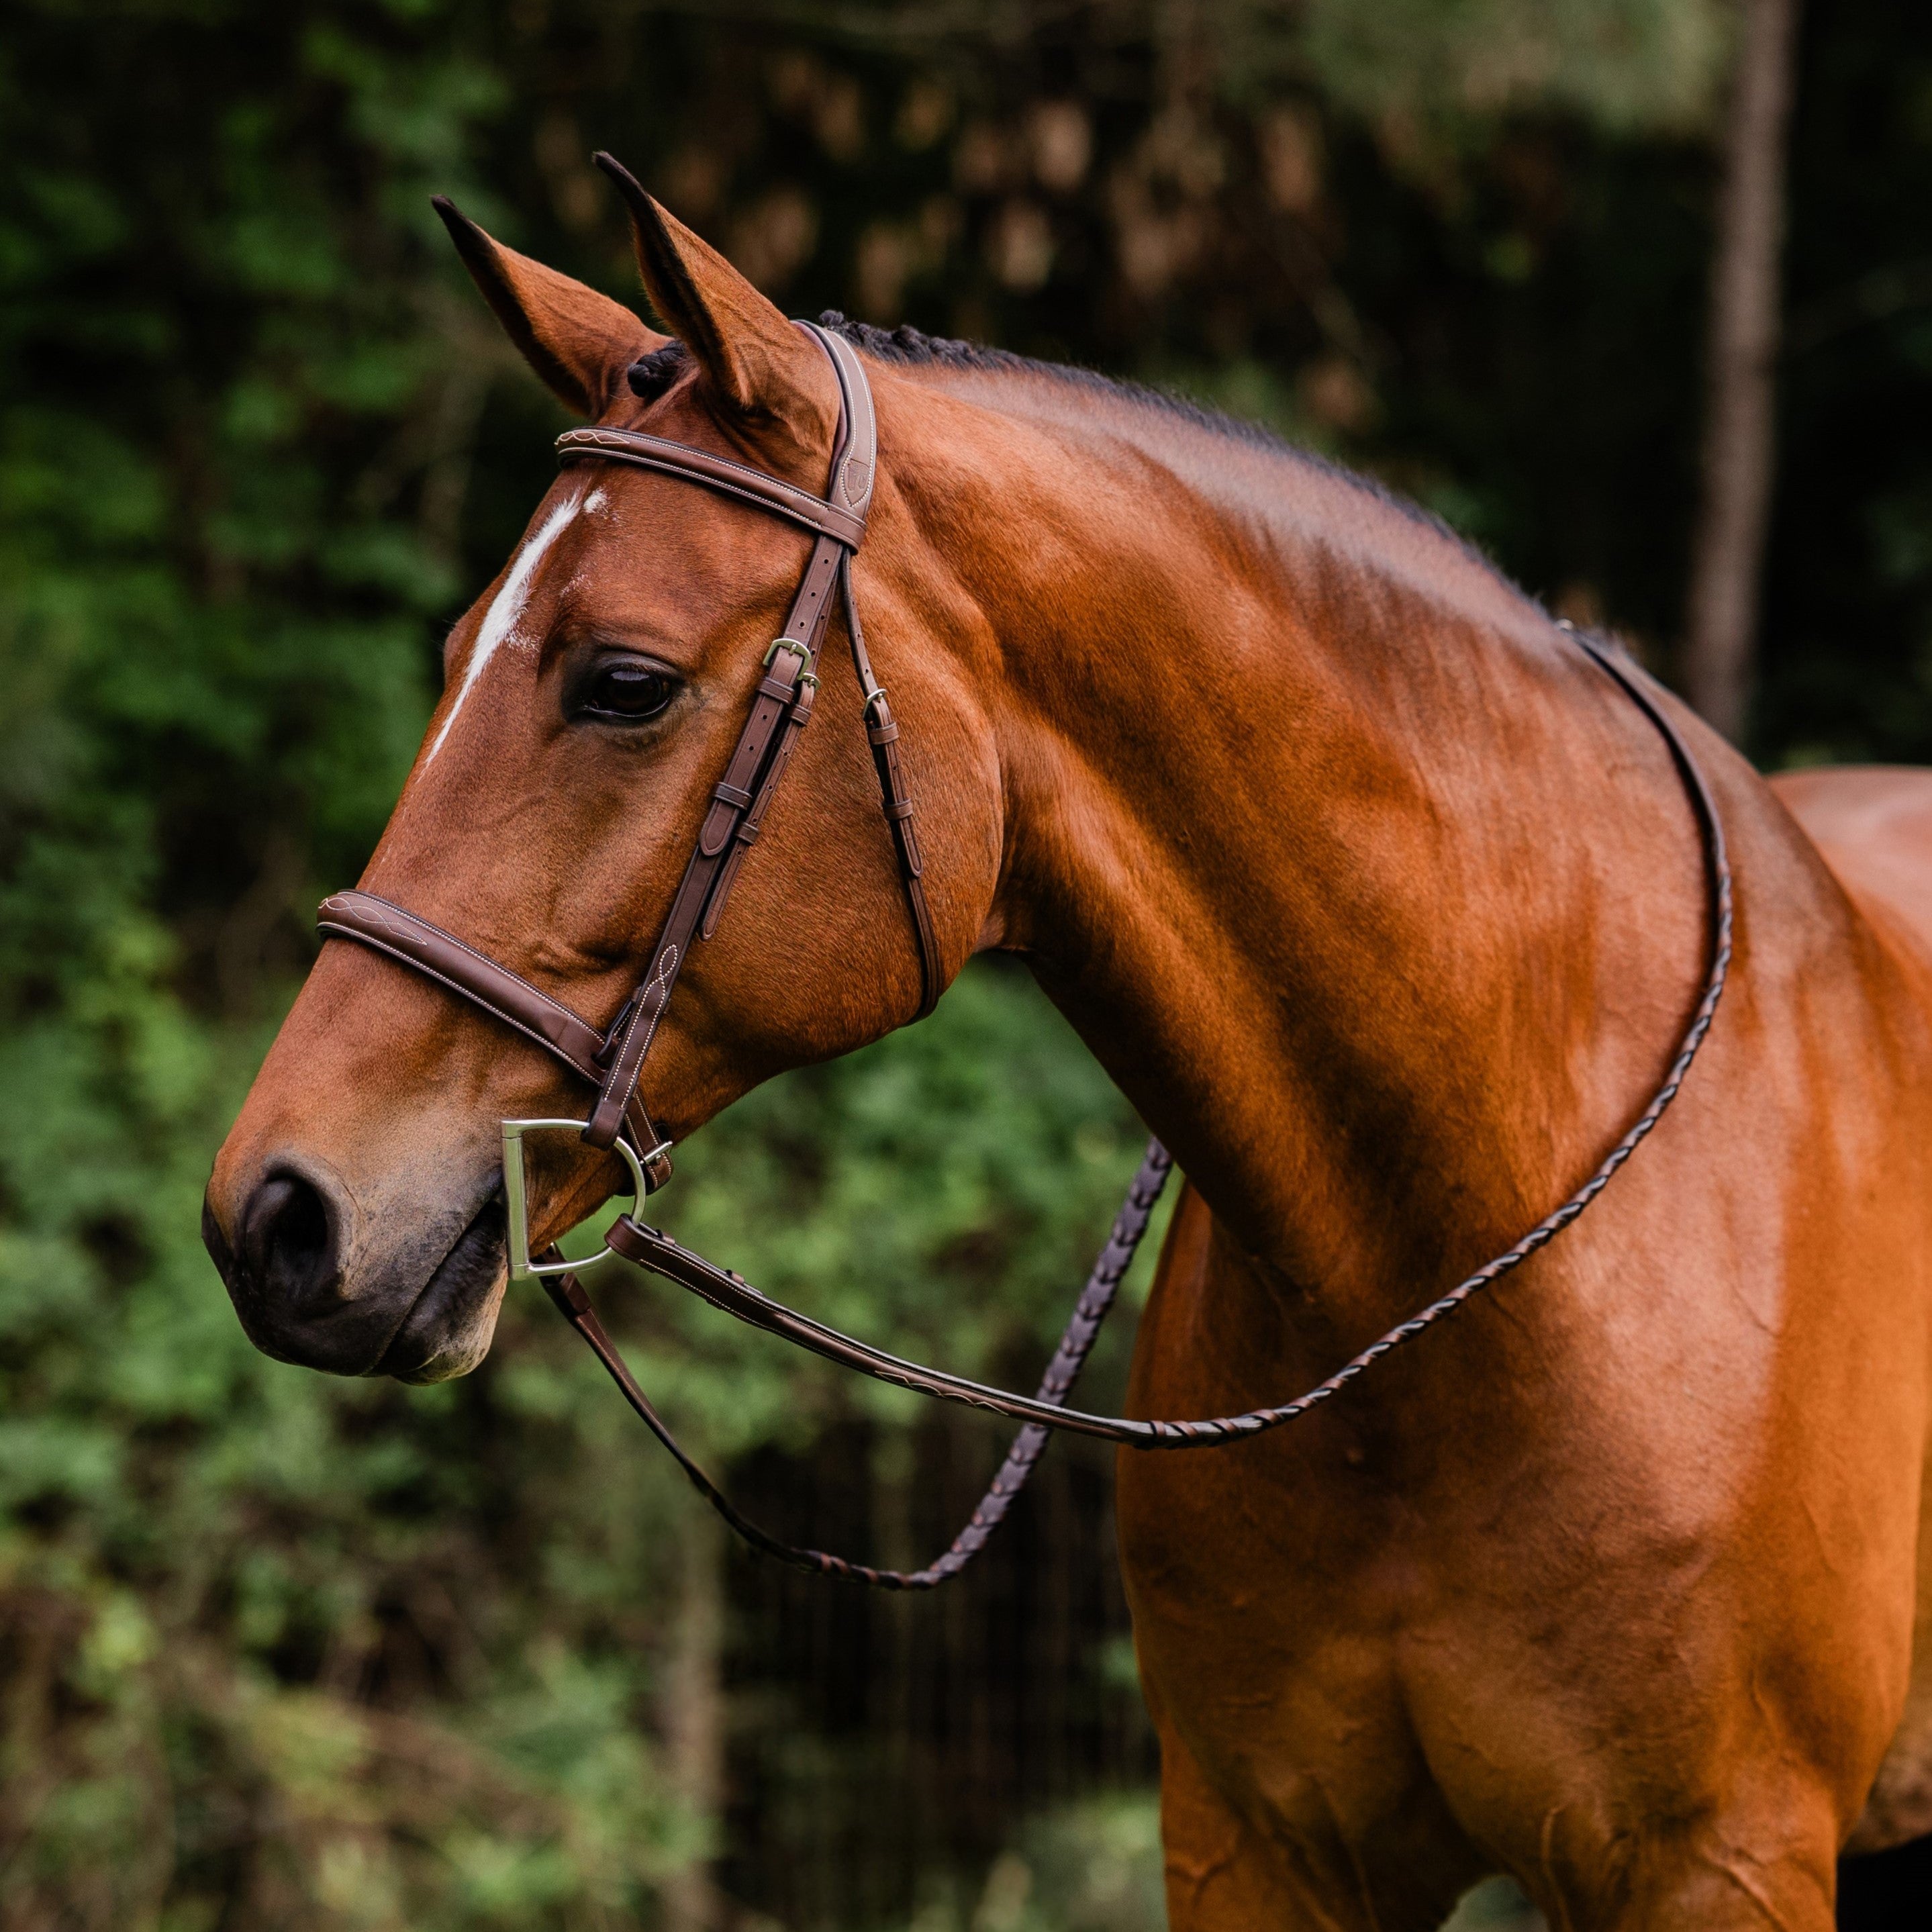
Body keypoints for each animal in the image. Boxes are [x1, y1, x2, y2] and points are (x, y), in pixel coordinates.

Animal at [202, 171, 1932, 1929]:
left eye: (623, 683)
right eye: (455, 652)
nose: (276, 1216)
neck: (1466, 1266)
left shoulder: (1721, 1863)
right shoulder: (1254, 1845)